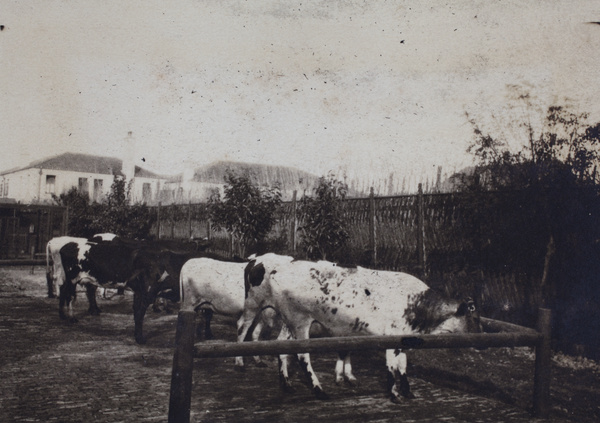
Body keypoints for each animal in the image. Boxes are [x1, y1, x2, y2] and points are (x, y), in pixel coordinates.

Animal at [239, 255, 482, 404]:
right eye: (473, 317)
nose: (482, 342)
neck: (417, 303)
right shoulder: (392, 337)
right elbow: (392, 366)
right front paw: (394, 394)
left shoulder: (405, 338)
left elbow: (403, 365)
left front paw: (408, 391)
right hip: (296, 319)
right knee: (299, 354)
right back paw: (319, 390)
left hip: (289, 323)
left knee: (282, 348)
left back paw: (287, 385)